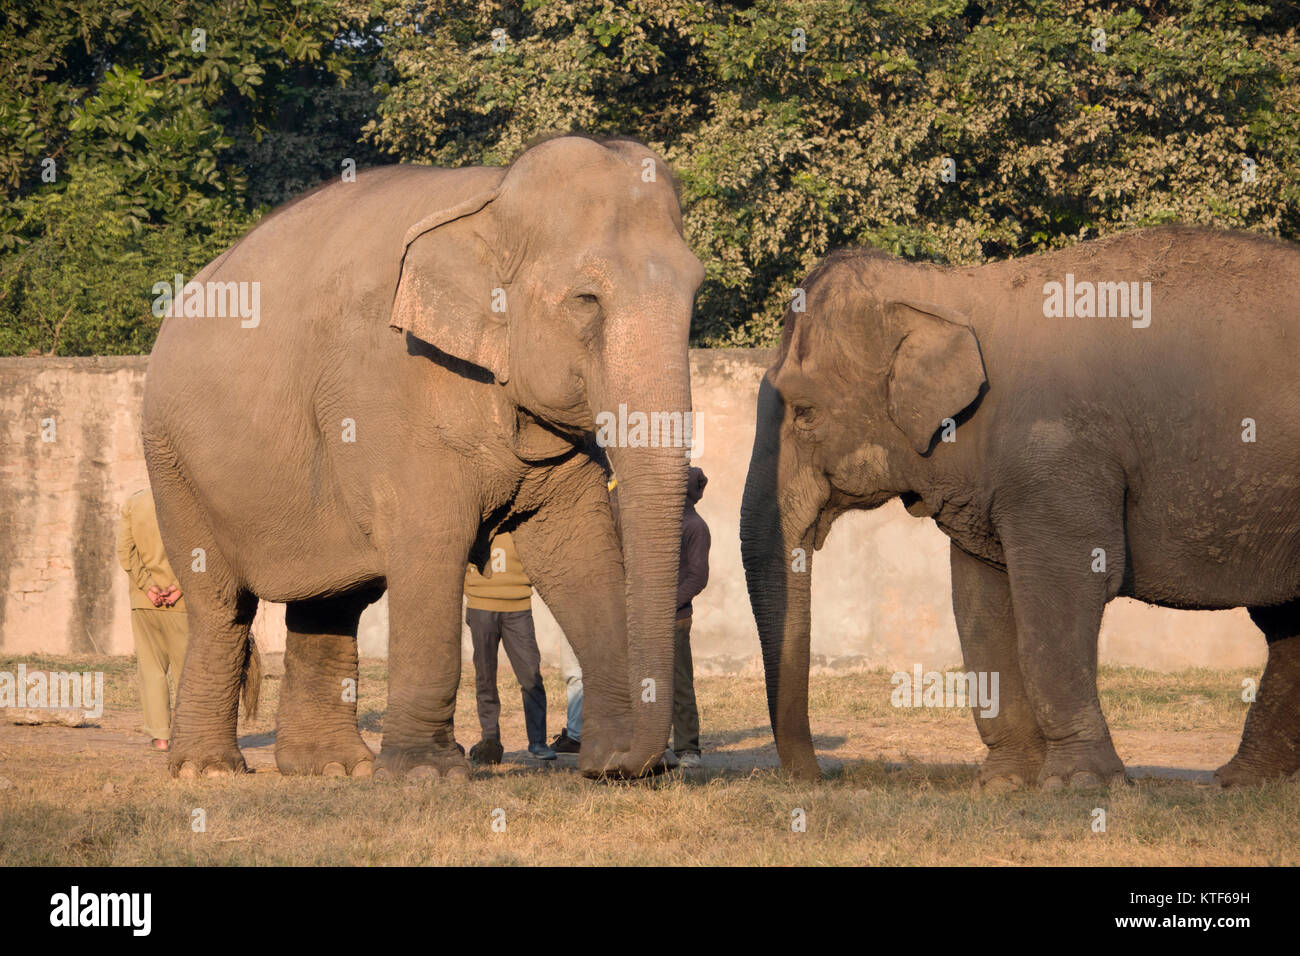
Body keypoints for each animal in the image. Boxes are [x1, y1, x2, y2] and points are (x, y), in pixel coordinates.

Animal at [143, 132, 707, 780]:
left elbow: (577, 545)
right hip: (170, 458)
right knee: (219, 603)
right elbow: (432, 537)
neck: (492, 198)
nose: (641, 760)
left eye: (696, 291)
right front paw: (425, 774)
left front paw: (616, 766)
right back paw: (208, 769)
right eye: (586, 300)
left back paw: (333, 768)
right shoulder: (387, 389)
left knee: (329, 601)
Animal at [743, 226, 1300, 790]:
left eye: (804, 413)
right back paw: (1242, 781)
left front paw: (1079, 784)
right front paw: (1005, 784)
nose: (820, 776)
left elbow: (1061, 593)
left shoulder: (1058, 454)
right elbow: (978, 602)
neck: (948, 290)